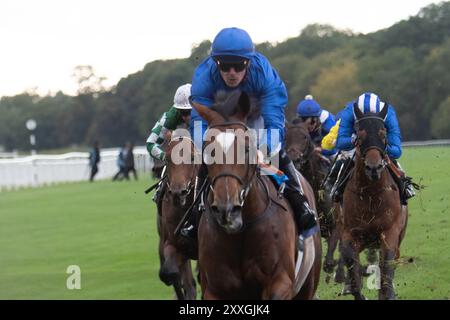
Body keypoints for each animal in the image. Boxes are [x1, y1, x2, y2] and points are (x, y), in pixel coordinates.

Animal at [192, 90, 322, 300]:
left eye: (246, 149)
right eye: (207, 151)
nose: (227, 209)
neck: (242, 230)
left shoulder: (280, 282)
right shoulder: (214, 289)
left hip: (307, 284)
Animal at [342, 104, 408, 300]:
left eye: (383, 133)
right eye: (360, 135)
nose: (373, 167)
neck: (370, 194)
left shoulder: (390, 233)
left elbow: (386, 271)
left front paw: (388, 293)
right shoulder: (349, 235)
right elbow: (354, 278)